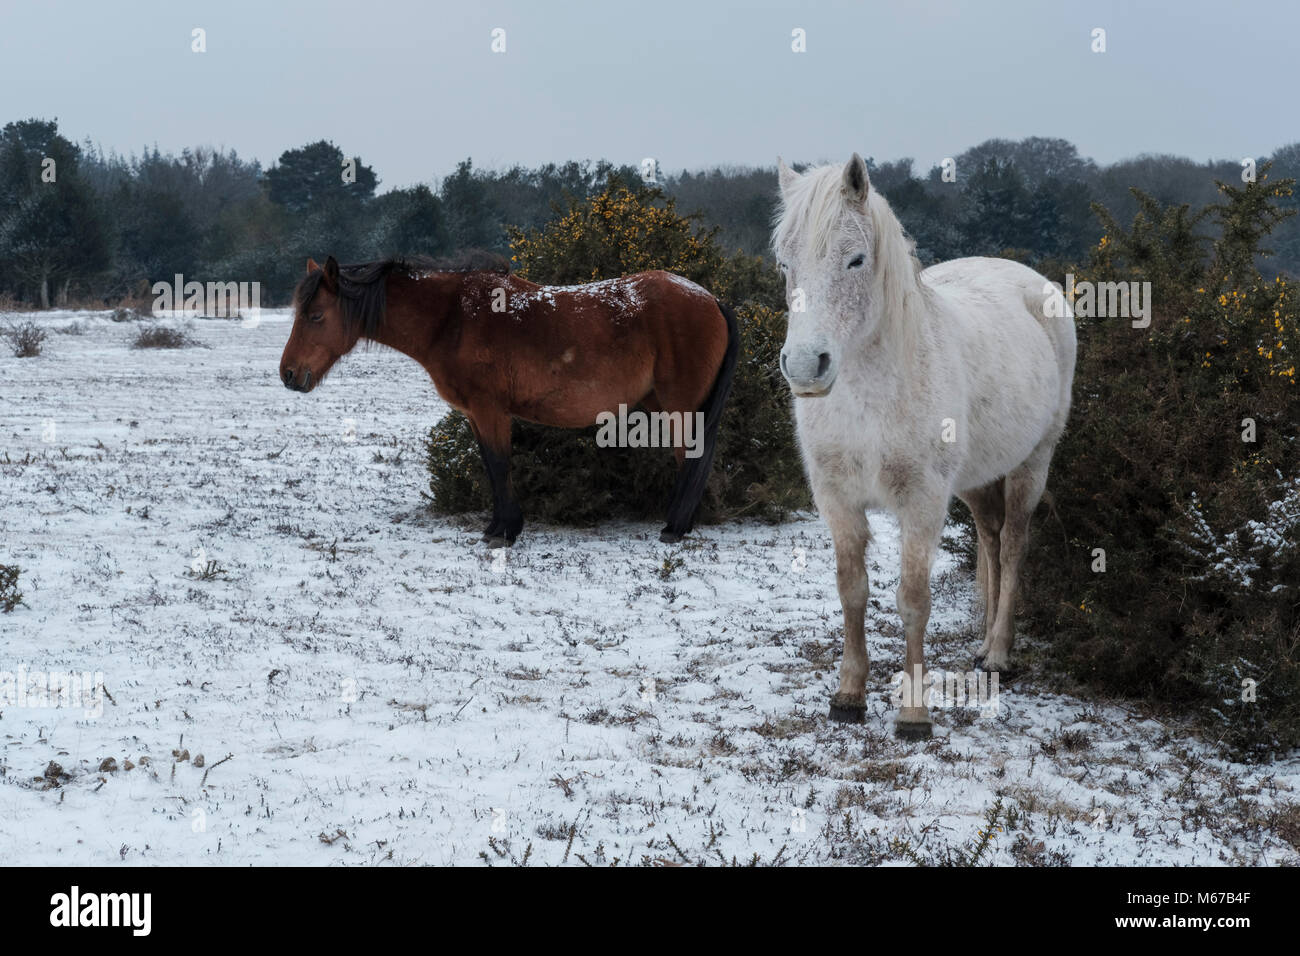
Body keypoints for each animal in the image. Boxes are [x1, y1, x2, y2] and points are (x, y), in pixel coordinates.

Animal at [278, 256, 738, 546]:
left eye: (315, 316)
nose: (288, 374)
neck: (452, 318)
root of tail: (711, 298)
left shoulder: (490, 410)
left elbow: (499, 466)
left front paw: (505, 532)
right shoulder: (477, 416)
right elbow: (490, 464)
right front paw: (498, 526)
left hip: (680, 407)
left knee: (691, 458)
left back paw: (675, 528)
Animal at [769, 155, 1076, 738]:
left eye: (856, 259)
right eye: (784, 263)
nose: (804, 367)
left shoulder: (922, 502)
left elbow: (913, 599)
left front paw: (914, 712)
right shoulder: (837, 501)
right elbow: (852, 591)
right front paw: (848, 695)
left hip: (1033, 462)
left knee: (1013, 544)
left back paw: (998, 654)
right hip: (977, 481)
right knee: (990, 539)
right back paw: (982, 641)